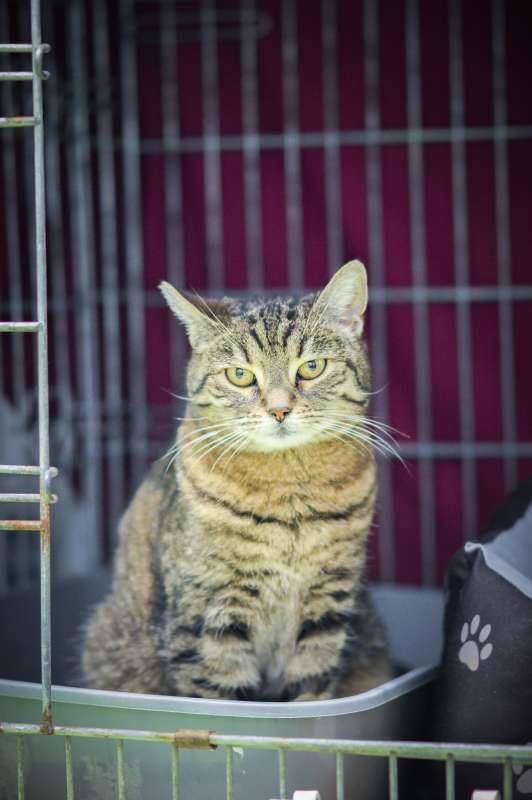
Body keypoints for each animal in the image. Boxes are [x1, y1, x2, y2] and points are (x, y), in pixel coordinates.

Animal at [81, 260, 392, 701]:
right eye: (241, 375)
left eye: (311, 367)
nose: (279, 410)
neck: (288, 491)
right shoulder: (209, 618)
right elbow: (219, 695)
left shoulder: (328, 606)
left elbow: (311, 689)